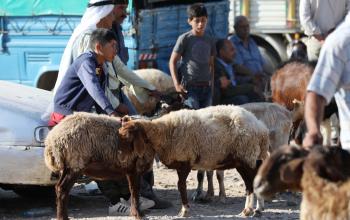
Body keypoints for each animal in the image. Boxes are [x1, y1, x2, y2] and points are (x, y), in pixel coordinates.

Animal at [121, 105, 270, 217]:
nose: (121, 158)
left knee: (250, 185)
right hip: (252, 159)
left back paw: (248, 210)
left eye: (128, 137)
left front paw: (184, 211)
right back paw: (258, 210)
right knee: (256, 181)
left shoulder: (184, 162)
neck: (163, 132)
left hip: (246, 157)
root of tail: (261, 128)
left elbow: (181, 186)